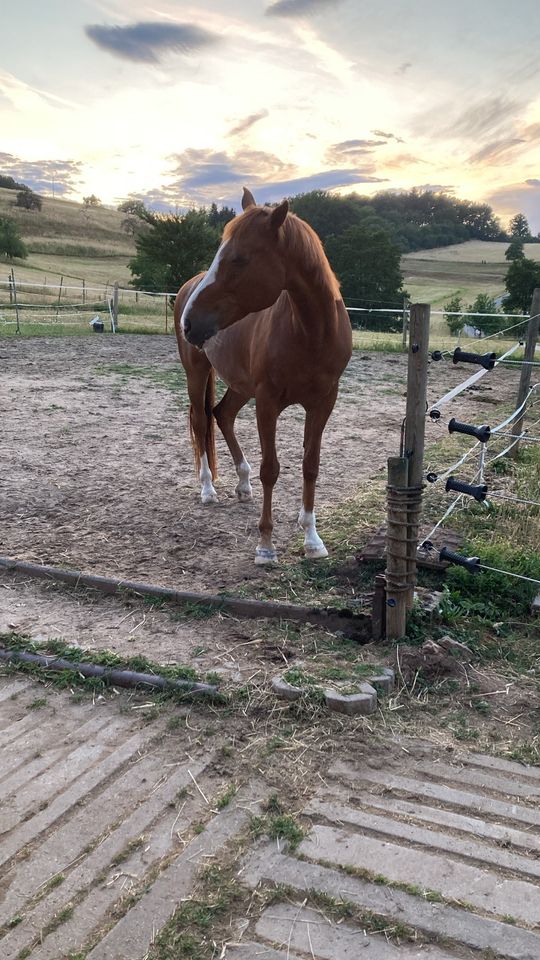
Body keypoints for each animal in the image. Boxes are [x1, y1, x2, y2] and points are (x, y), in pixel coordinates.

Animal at [173, 187, 350, 564]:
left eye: (239, 259)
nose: (189, 323)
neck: (311, 333)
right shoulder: (268, 402)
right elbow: (271, 468)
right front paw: (266, 545)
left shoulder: (323, 402)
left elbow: (310, 465)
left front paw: (312, 539)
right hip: (198, 372)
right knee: (200, 420)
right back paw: (207, 488)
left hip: (241, 385)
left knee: (222, 414)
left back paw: (243, 483)